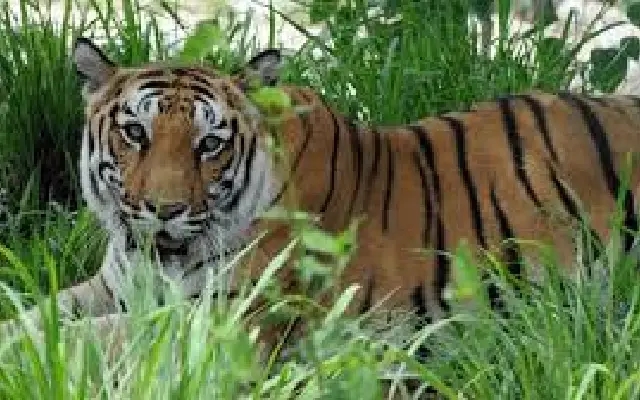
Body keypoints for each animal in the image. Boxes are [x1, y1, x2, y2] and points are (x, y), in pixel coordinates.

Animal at [4, 36, 640, 351]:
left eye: (210, 144)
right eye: (135, 132)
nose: (165, 211)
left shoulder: (232, 318)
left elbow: (89, 340)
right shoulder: (112, 287)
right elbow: (37, 313)